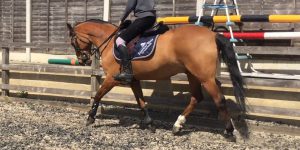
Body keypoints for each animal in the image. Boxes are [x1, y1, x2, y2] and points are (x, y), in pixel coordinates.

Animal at [67, 19, 245, 137]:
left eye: (73, 41)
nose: (83, 60)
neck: (110, 42)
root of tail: (212, 34)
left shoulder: (112, 78)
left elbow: (98, 95)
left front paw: (90, 118)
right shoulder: (133, 80)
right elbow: (141, 101)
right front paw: (150, 123)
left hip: (205, 77)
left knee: (219, 99)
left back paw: (229, 130)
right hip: (193, 74)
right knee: (196, 97)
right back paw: (177, 125)